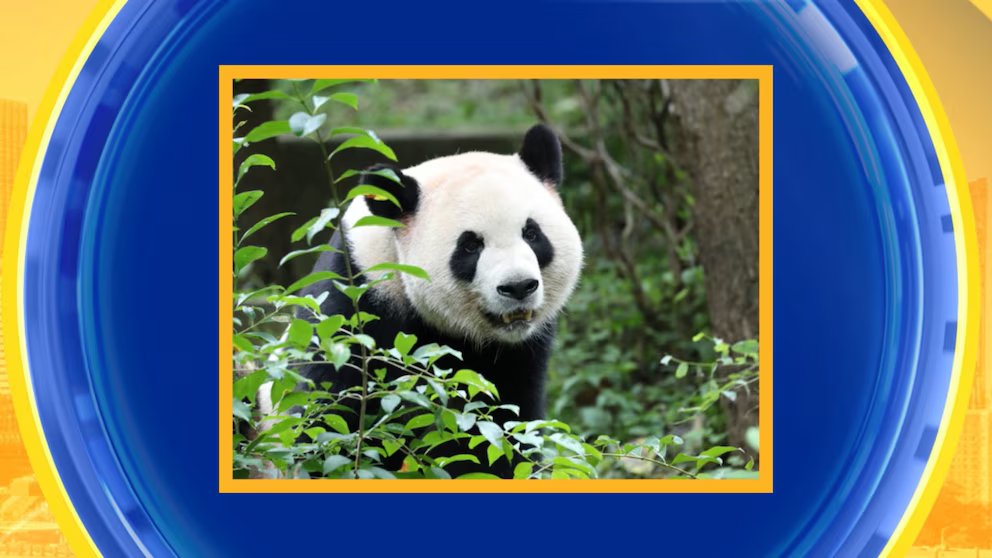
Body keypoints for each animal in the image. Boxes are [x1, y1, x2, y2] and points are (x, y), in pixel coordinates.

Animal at [297, 124, 583, 478]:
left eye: (532, 234)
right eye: (470, 246)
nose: (518, 287)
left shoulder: (521, 355)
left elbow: (507, 426)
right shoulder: (355, 303)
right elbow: (327, 414)